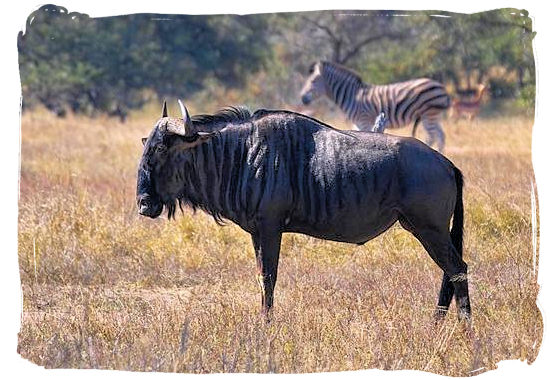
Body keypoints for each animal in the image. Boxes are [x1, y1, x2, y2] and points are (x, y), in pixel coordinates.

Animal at [302, 61, 452, 151]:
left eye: (313, 81)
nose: (303, 99)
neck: (352, 96)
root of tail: (442, 87)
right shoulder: (358, 123)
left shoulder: (364, 120)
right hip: (434, 115)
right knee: (441, 136)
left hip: (428, 113)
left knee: (432, 136)